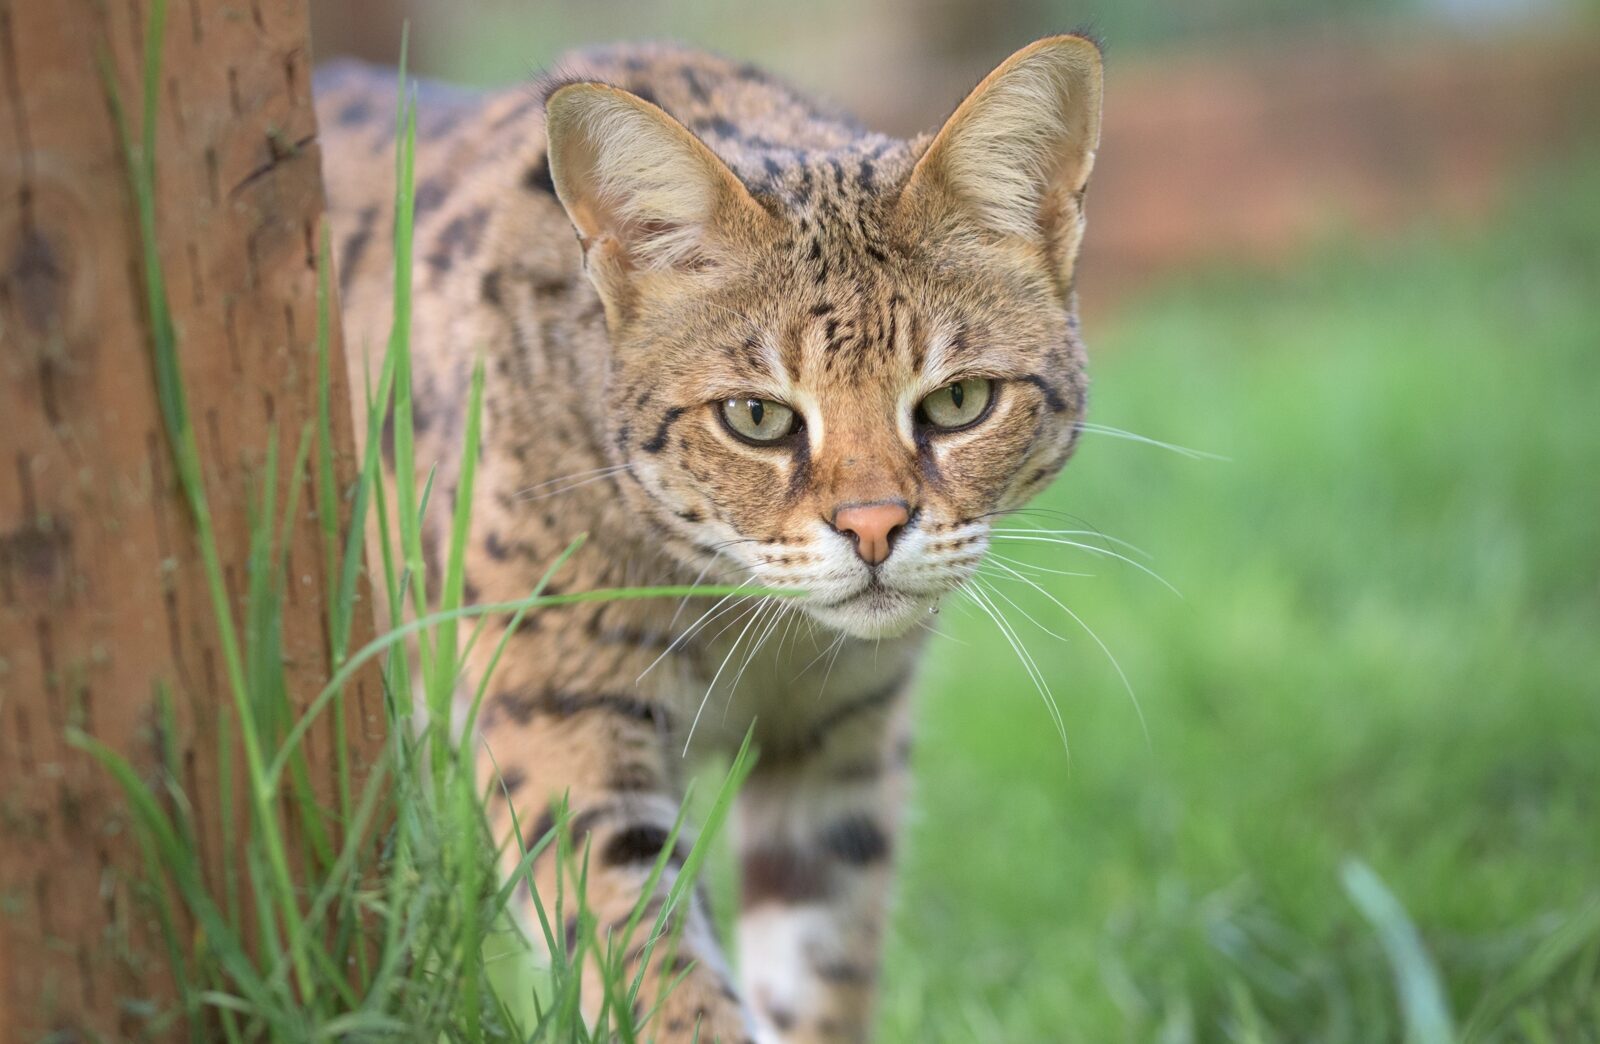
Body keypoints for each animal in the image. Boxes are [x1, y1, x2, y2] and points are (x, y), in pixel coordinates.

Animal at [313, 34, 1100, 1044]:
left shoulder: (842, 739)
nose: (875, 528)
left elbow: (822, 969)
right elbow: (650, 961)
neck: (747, 614)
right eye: (756, 417)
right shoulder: (553, 719)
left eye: (959, 401)